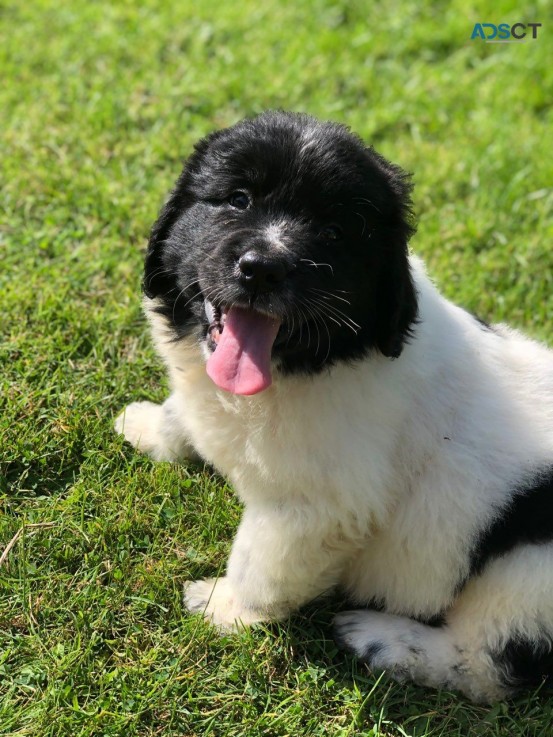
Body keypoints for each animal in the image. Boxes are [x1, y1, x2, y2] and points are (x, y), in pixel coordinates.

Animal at [113, 110, 552, 700]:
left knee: (491, 665)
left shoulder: (313, 508)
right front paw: (145, 425)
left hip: (527, 566)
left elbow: (259, 564)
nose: (263, 268)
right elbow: (182, 412)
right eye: (237, 199)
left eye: (333, 234)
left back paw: (383, 640)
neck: (307, 361)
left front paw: (223, 607)